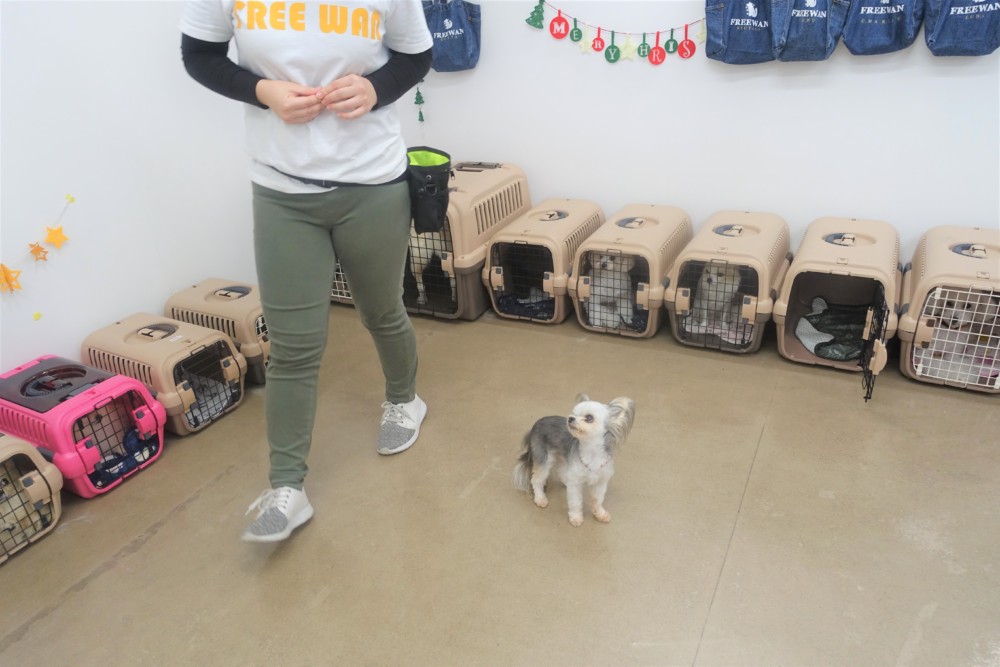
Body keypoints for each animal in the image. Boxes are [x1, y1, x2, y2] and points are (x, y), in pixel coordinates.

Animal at [513, 393, 635, 527]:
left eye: (589, 418)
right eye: (574, 414)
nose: (570, 418)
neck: (592, 452)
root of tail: (536, 424)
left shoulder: (600, 482)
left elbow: (597, 500)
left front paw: (600, 514)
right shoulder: (575, 484)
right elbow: (575, 502)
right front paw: (576, 518)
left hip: (562, 457)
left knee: (561, 471)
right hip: (544, 460)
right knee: (536, 481)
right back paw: (540, 498)